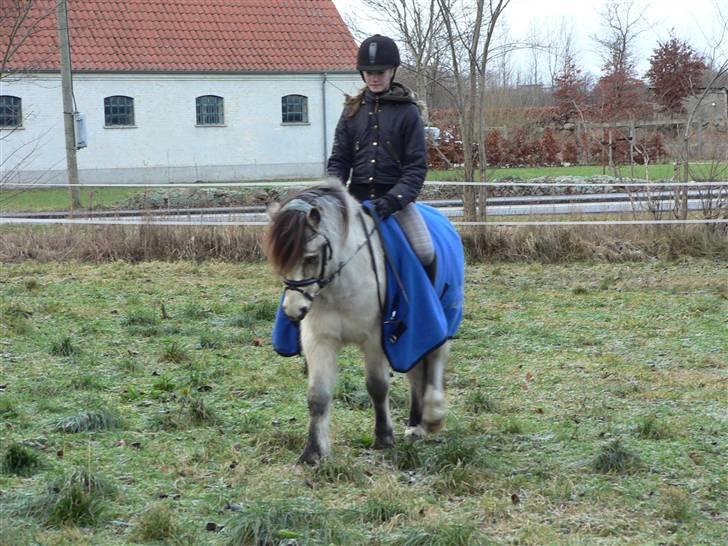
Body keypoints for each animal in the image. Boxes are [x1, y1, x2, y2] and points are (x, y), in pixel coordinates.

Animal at [265, 179, 451, 464]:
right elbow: (317, 396)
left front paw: (384, 438)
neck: (342, 285)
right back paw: (415, 424)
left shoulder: (375, 339)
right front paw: (312, 453)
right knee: (416, 369)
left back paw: (432, 417)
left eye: (311, 257)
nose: (294, 310)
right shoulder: (319, 340)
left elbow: (377, 387)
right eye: (280, 260)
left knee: (435, 357)